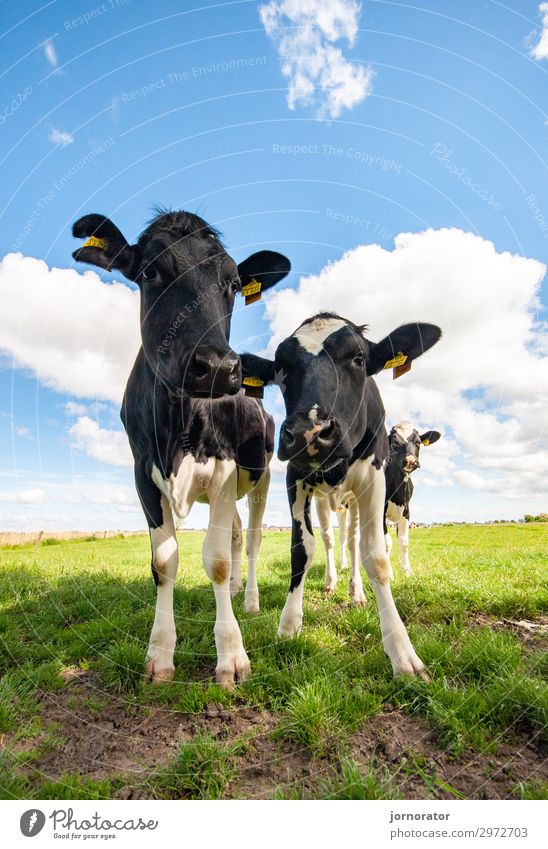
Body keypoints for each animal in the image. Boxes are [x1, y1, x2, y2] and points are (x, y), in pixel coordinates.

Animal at [73, 212, 292, 688]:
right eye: (151, 273)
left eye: (233, 283)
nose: (218, 368)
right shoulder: (142, 473)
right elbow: (164, 562)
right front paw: (160, 654)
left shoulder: (226, 470)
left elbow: (217, 561)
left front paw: (231, 657)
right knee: (233, 534)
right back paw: (234, 593)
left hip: (261, 477)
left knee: (250, 540)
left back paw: (248, 600)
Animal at [386, 422, 440, 576]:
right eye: (394, 443)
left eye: (418, 442)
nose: (410, 460)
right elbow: (386, 543)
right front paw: (388, 573)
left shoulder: (406, 510)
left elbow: (404, 542)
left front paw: (407, 572)